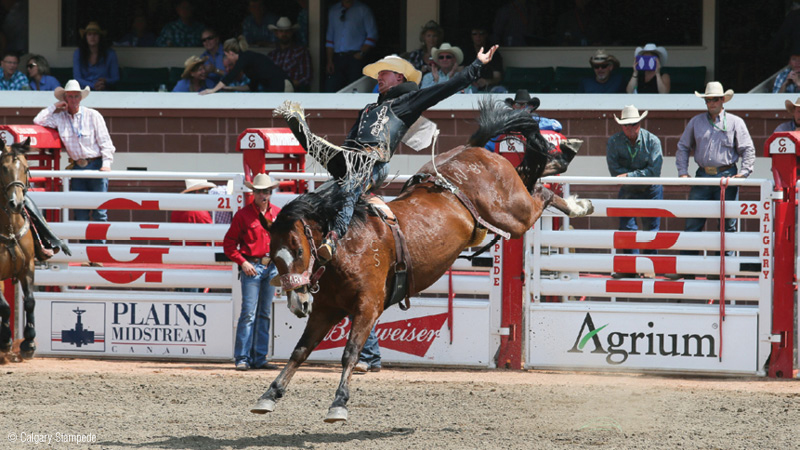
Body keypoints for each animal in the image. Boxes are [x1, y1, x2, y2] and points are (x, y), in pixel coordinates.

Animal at [253, 101, 592, 422]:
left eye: (298, 251)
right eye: (273, 256)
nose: (298, 304)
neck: (346, 247)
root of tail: (476, 149)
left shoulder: (367, 307)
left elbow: (349, 353)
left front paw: (338, 404)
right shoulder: (325, 310)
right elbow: (300, 350)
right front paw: (269, 395)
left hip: (514, 215)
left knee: (541, 193)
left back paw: (579, 199)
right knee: (533, 176)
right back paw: (568, 165)